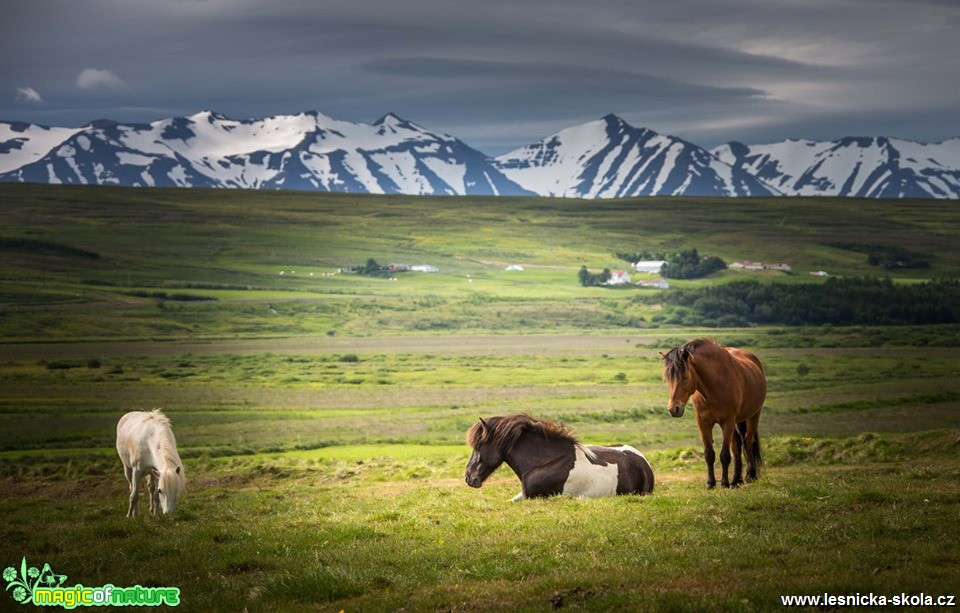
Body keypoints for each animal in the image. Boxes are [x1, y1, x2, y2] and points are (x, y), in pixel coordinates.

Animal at [660, 340, 764, 488]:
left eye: (685, 376)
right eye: (668, 378)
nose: (673, 409)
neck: (714, 386)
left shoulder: (727, 421)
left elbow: (725, 455)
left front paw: (724, 483)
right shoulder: (703, 421)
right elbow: (709, 454)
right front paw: (711, 483)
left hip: (753, 415)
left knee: (748, 441)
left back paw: (750, 476)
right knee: (736, 446)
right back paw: (736, 480)